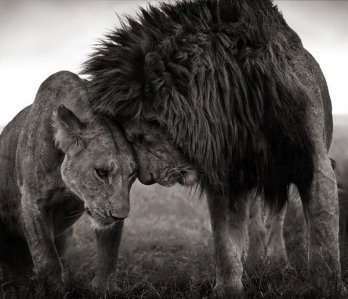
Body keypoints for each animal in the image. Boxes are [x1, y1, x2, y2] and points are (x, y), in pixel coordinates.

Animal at [0, 71, 136, 290]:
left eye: (132, 174)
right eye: (101, 172)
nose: (120, 216)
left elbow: (109, 251)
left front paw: (103, 287)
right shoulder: (32, 200)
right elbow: (46, 257)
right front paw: (54, 289)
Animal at [83, 0, 340, 296]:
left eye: (138, 137)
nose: (146, 179)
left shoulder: (314, 164)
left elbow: (323, 235)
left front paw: (326, 285)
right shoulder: (226, 177)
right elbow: (225, 241)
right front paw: (228, 287)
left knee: (276, 217)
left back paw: (276, 261)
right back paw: (255, 260)